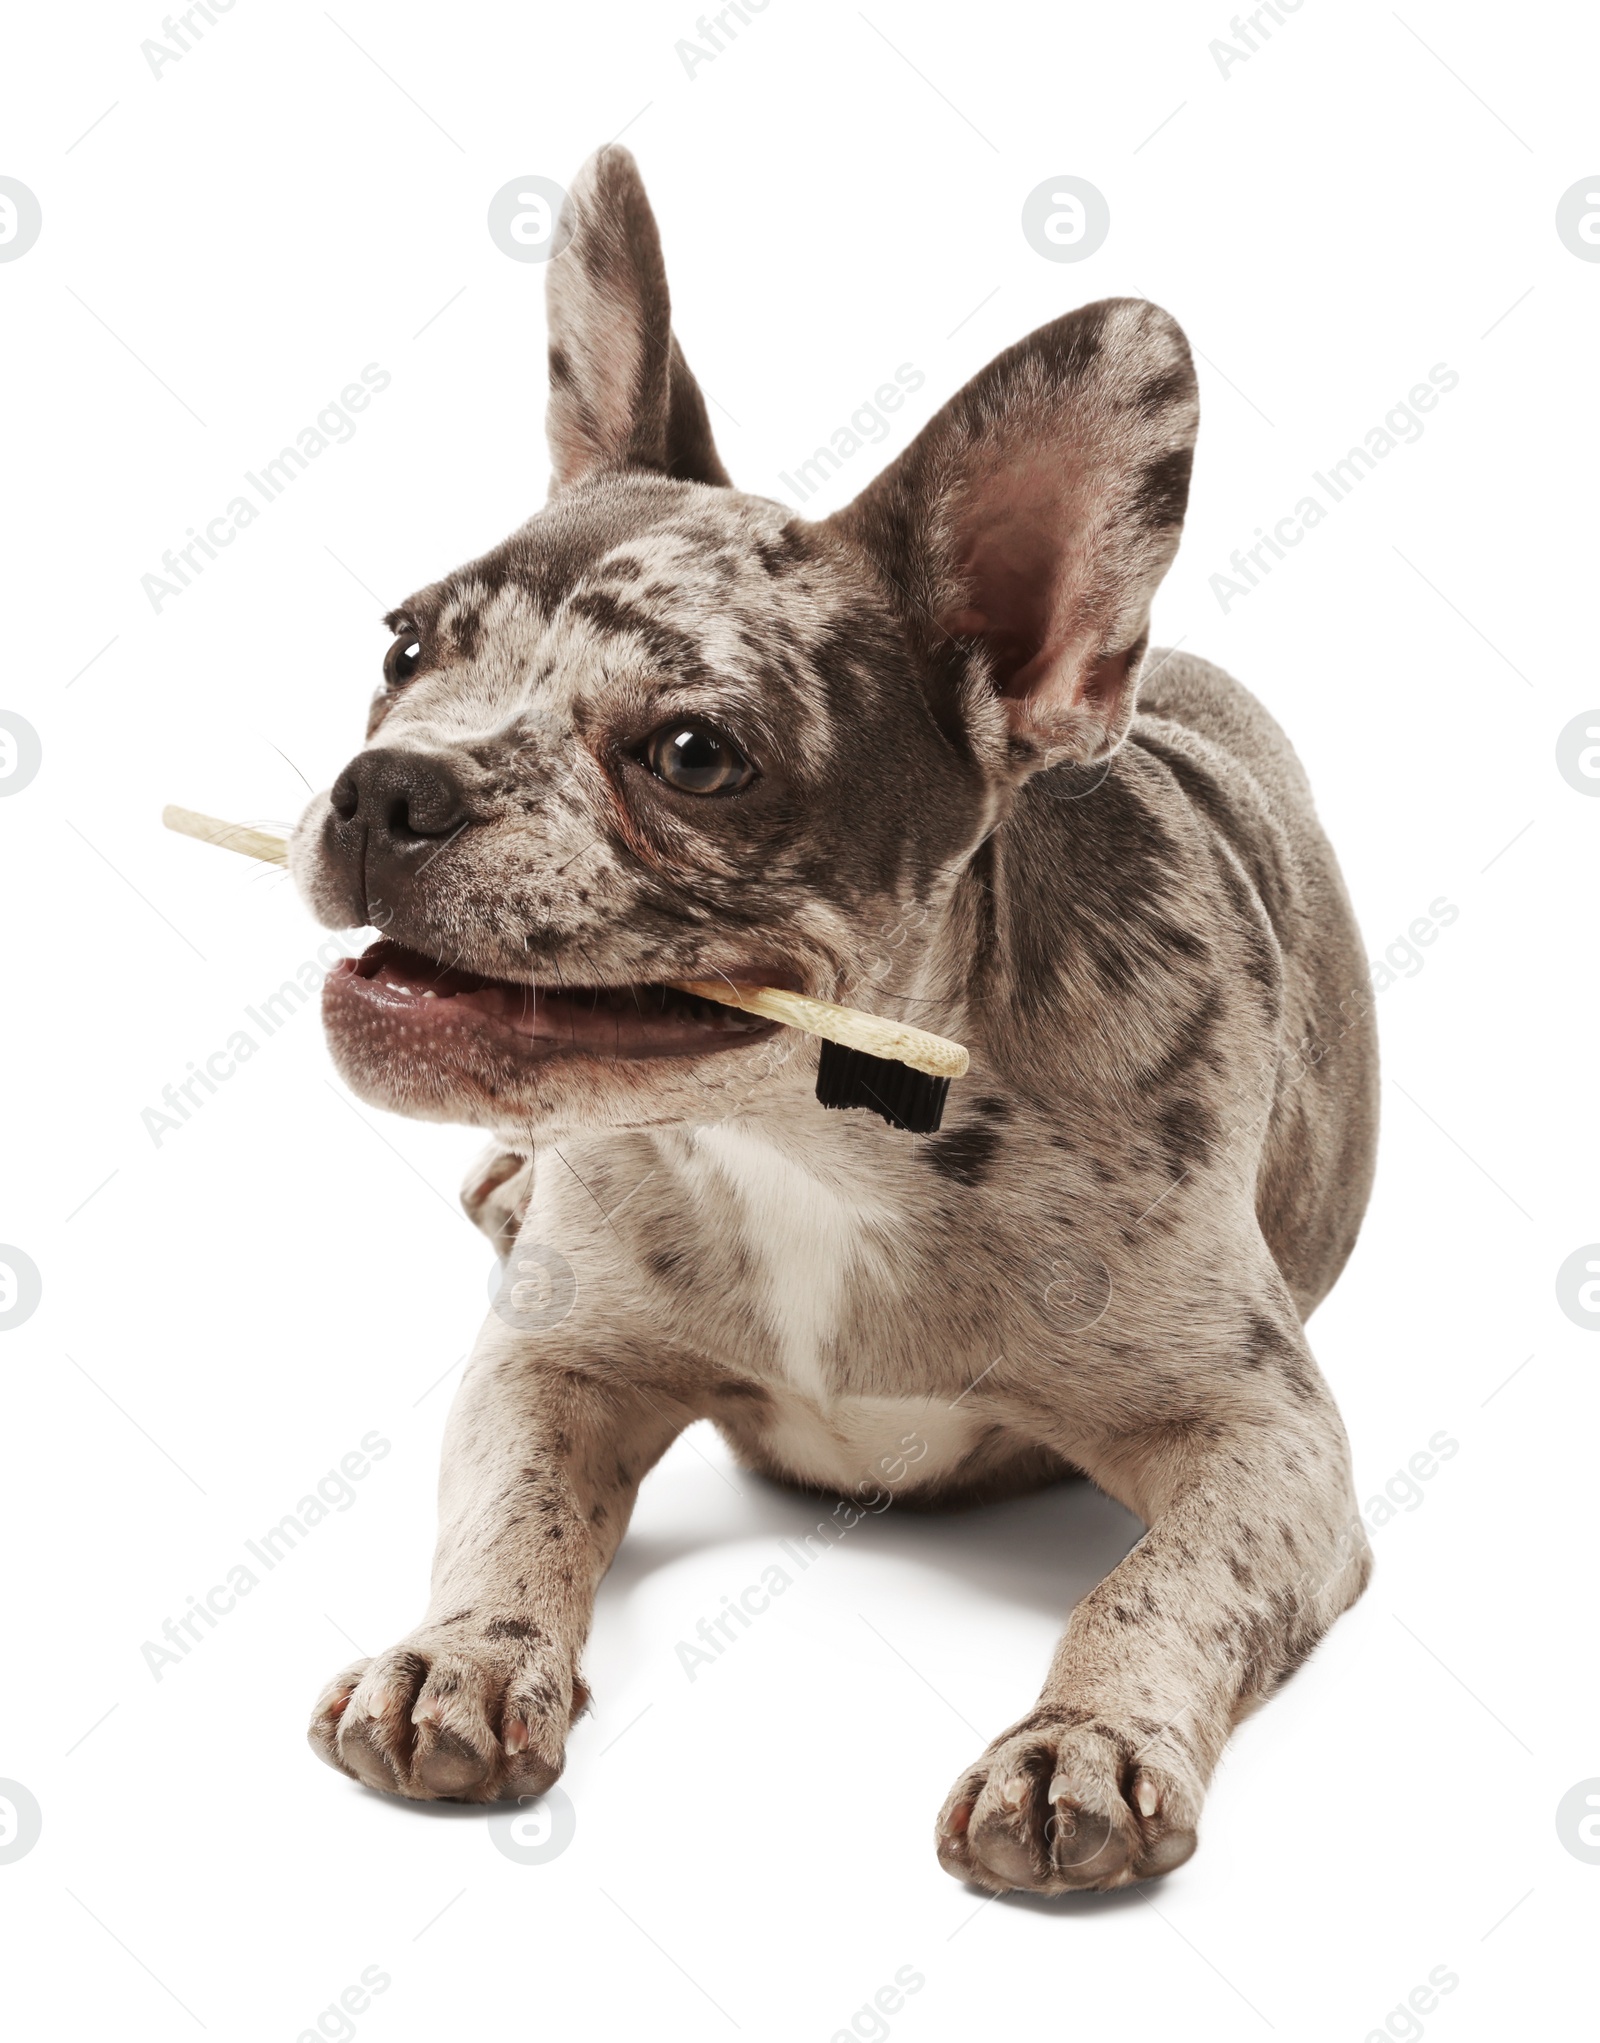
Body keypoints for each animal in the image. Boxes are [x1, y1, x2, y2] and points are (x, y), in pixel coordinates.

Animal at [294, 148, 1381, 1895]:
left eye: (693, 752)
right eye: (399, 652)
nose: (389, 781)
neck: (811, 1137)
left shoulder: (1262, 1442)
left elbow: (1150, 1583)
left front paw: (1082, 1738)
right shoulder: (551, 1363)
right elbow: (509, 1508)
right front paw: (460, 1648)